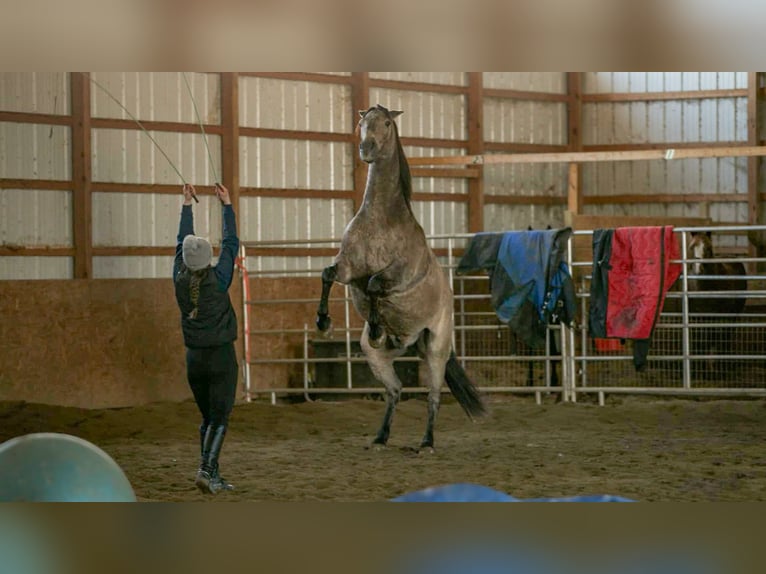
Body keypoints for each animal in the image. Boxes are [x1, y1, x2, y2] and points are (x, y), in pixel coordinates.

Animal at [316, 106, 486, 452]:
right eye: (362, 122)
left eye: (386, 122)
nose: (366, 148)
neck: (381, 219)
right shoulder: (348, 268)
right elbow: (328, 275)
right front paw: (324, 322)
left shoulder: (399, 275)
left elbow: (375, 285)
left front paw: (376, 326)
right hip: (379, 357)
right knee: (395, 390)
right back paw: (381, 437)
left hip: (436, 348)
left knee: (433, 396)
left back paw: (426, 442)